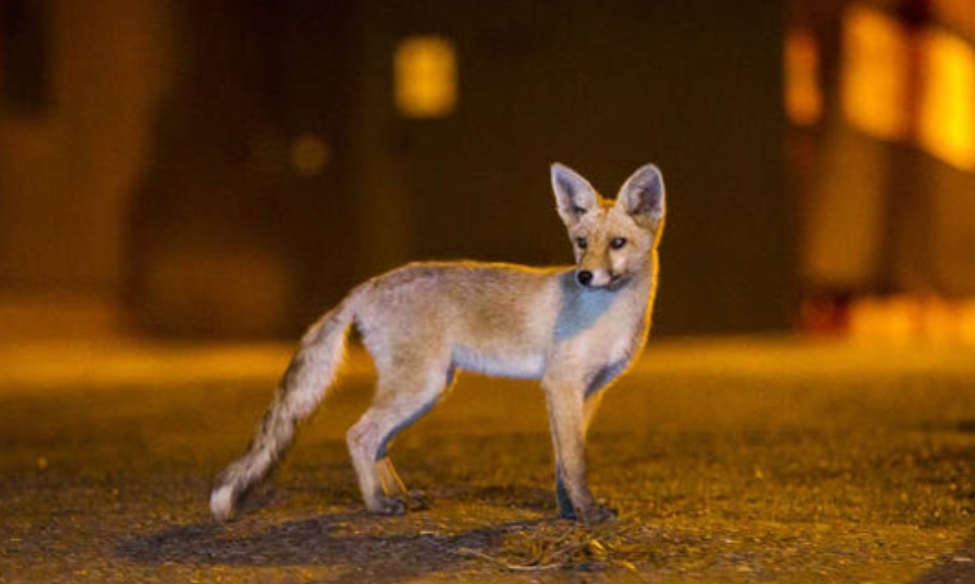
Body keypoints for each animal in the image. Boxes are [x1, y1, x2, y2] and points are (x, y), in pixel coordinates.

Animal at [210, 162, 668, 528]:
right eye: (581, 243)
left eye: (617, 244)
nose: (584, 276)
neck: (609, 316)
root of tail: (367, 285)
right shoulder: (560, 385)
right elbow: (575, 461)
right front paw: (587, 515)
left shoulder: (589, 391)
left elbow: (565, 460)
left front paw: (570, 511)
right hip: (421, 385)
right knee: (360, 435)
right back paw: (377, 504)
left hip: (430, 389)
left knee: (379, 444)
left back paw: (398, 496)